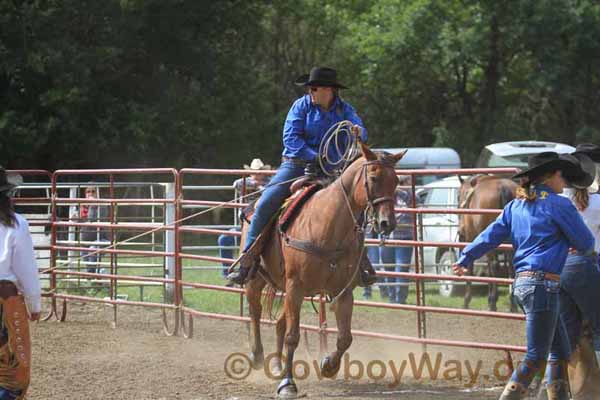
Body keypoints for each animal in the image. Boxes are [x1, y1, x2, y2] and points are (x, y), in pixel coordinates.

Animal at [458, 176, 516, 312]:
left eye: (458, 196)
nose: (460, 232)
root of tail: (504, 188)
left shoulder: (471, 239)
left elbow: (471, 266)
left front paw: (467, 300)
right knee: (511, 266)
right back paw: (512, 305)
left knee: (494, 265)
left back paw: (493, 303)